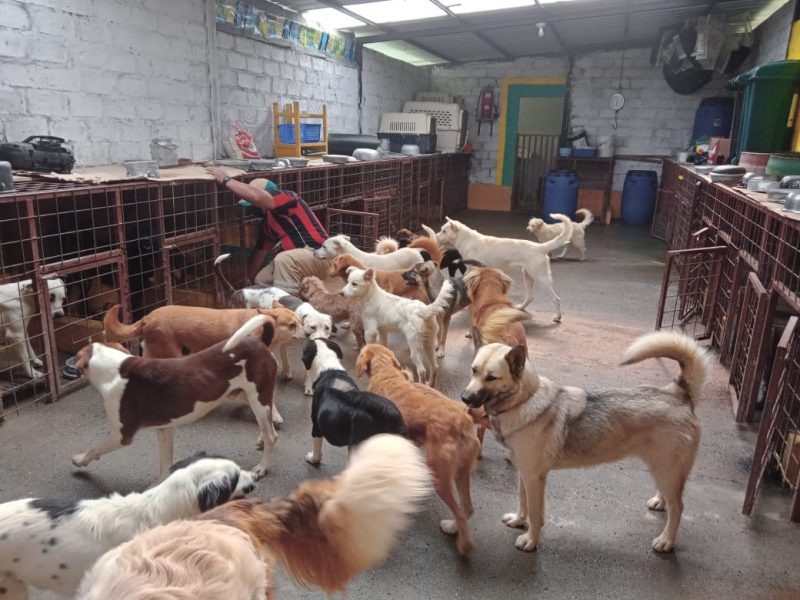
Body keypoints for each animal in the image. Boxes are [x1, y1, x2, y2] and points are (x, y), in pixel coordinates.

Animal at [358, 344, 482, 556]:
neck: (386, 373)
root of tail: (463, 420)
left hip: (440, 476)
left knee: (460, 512)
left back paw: (463, 544)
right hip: (462, 472)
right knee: (468, 507)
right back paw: (452, 527)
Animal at [438, 213, 576, 322]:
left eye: (444, 231)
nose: (436, 236)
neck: (467, 239)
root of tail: (540, 247)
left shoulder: (472, 270)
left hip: (541, 279)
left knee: (556, 299)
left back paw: (558, 317)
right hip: (528, 276)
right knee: (530, 296)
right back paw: (520, 308)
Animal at [462, 330, 708, 556]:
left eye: (491, 377)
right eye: (474, 370)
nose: (465, 398)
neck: (524, 400)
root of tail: (678, 393)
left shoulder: (534, 477)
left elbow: (535, 513)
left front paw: (531, 540)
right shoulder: (525, 473)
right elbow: (523, 502)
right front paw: (518, 520)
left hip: (666, 470)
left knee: (678, 507)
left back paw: (666, 540)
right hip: (661, 468)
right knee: (669, 498)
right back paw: (659, 502)